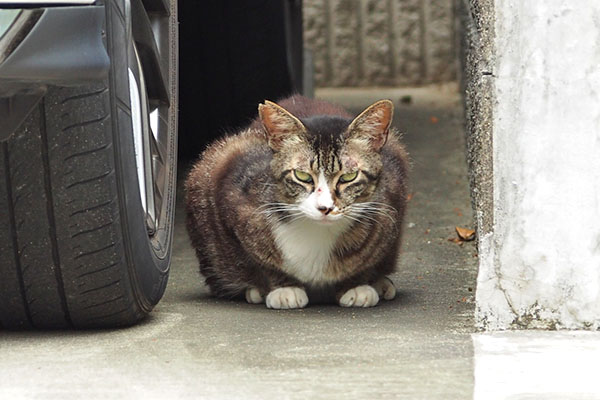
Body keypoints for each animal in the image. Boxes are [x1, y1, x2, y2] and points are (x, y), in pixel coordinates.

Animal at [185, 94, 410, 310]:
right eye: (302, 175)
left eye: (349, 176)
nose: (325, 208)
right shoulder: (231, 194)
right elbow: (256, 261)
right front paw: (283, 288)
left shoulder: (393, 202)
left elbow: (368, 259)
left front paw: (356, 285)